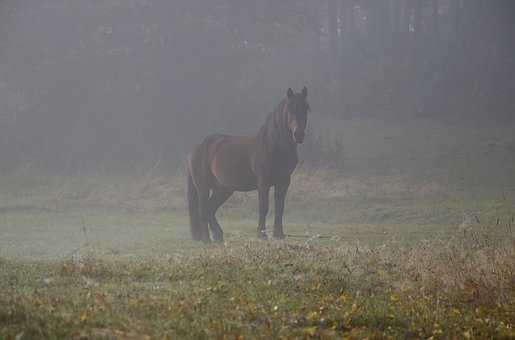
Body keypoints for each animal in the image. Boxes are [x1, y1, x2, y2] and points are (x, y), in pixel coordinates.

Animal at [188, 86, 310, 243]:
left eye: (306, 108)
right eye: (290, 109)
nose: (299, 134)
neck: (273, 145)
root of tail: (197, 148)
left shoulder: (283, 181)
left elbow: (280, 207)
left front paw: (279, 234)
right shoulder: (263, 182)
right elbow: (264, 206)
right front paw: (261, 234)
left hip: (223, 189)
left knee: (210, 209)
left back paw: (218, 236)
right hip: (203, 188)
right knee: (203, 209)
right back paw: (206, 239)